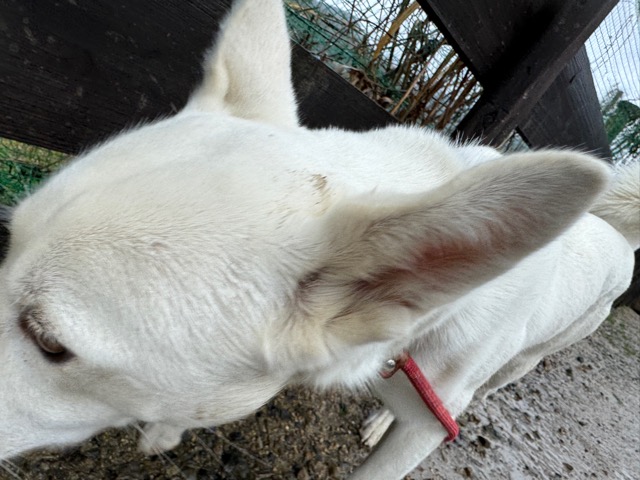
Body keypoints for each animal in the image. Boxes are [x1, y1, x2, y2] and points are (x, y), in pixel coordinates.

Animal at [1, 0, 638, 478]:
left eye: (50, 343)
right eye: (7, 242)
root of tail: (618, 234)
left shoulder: (425, 430)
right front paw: (163, 429)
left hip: (528, 357)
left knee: (490, 386)